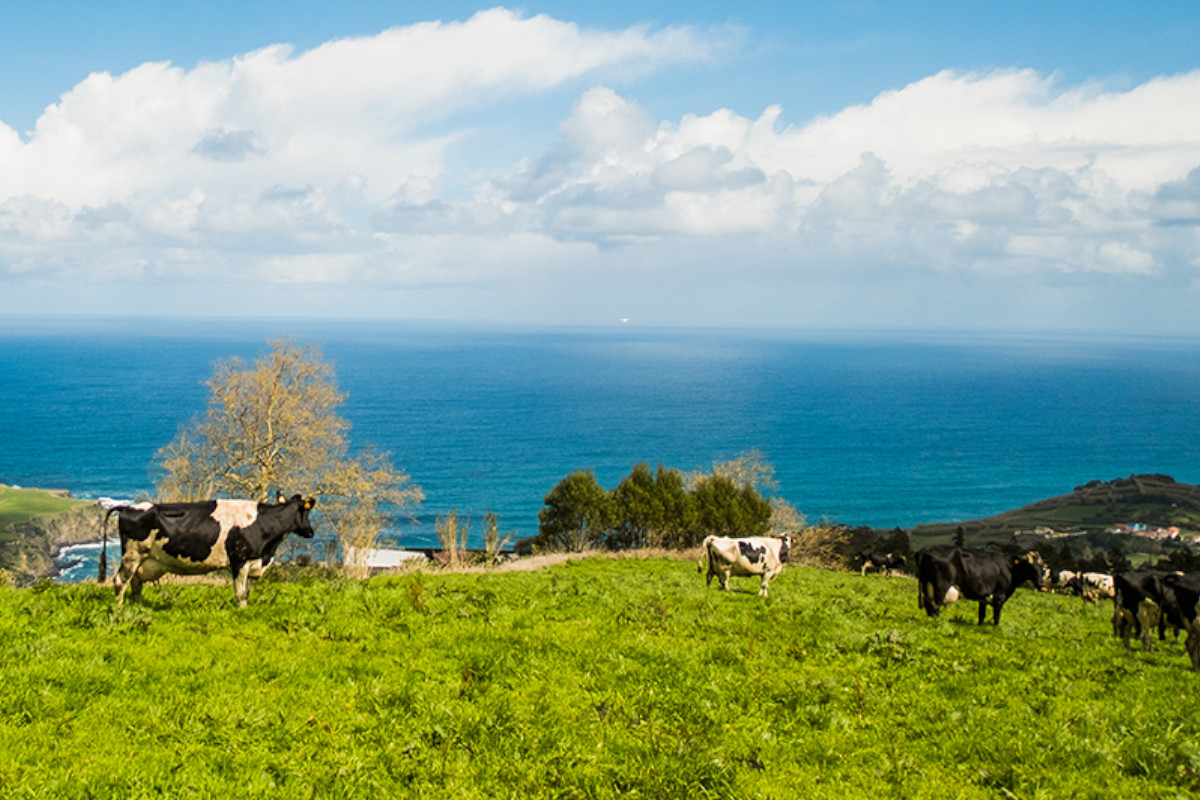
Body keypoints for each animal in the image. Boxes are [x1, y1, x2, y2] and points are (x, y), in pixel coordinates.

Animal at [102, 494, 316, 606]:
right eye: (306, 511)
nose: (311, 531)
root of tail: (127, 508)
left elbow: (245, 591)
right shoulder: (240, 561)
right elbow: (241, 593)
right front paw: (242, 611)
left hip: (141, 560)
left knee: (136, 583)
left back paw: (138, 607)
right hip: (132, 555)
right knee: (120, 581)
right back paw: (119, 608)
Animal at [912, 546, 1046, 628]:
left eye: (1042, 567)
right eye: (1029, 566)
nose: (1041, 583)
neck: (1011, 569)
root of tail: (926, 549)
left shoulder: (983, 598)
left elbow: (982, 615)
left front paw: (980, 627)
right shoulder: (999, 596)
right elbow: (996, 617)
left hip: (927, 584)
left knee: (929, 605)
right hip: (941, 586)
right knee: (935, 606)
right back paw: (937, 624)